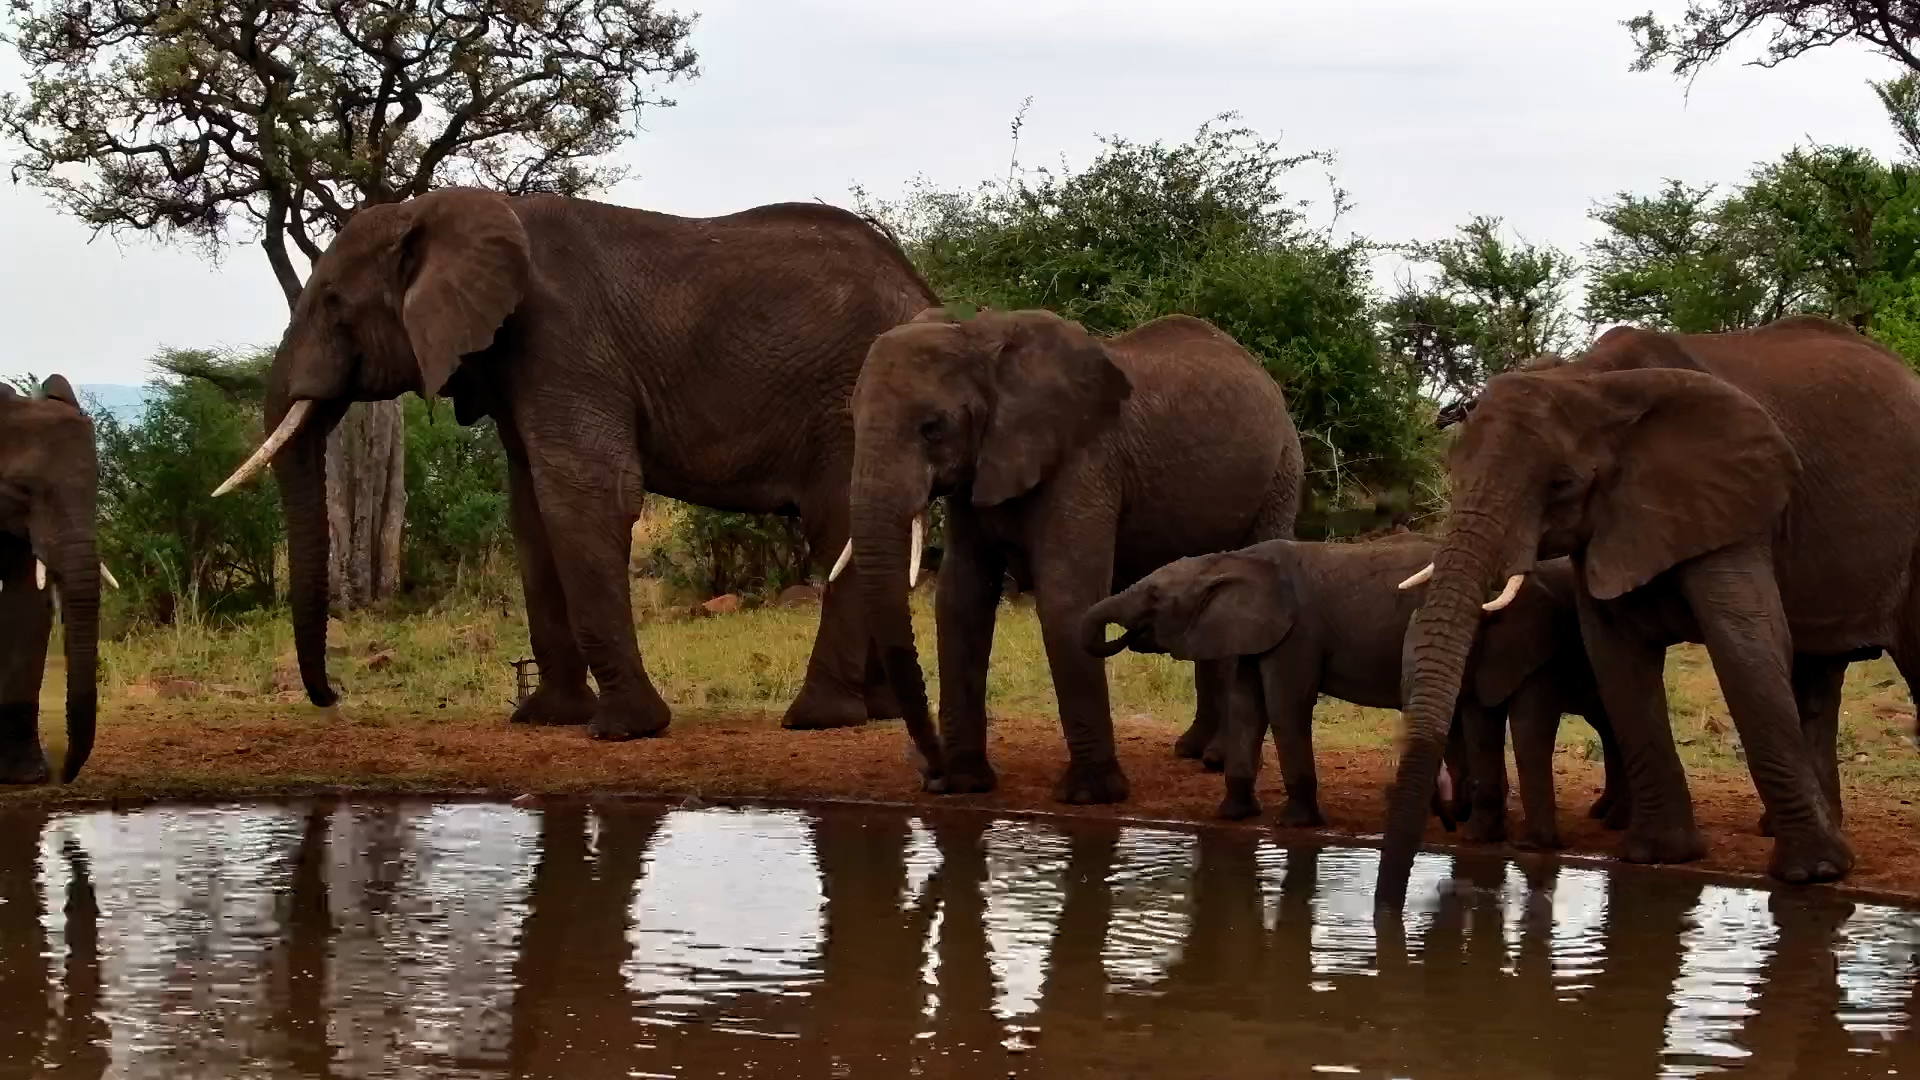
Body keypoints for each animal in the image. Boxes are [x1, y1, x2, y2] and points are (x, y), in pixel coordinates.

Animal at [212, 187, 939, 739]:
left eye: (334, 304)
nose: (332, 698)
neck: (448, 209)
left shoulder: (563, 344)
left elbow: (586, 497)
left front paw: (625, 730)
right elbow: (531, 512)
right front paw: (545, 718)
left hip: (852, 401)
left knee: (840, 524)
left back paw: (816, 718)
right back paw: (878, 711)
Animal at [840, 305, 1302, 803]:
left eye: (933, 427)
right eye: (853, 420)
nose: (931, 773)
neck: (981, 339)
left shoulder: (1085, 464)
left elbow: (1066, 600)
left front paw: (1090, 796)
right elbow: (960, 600)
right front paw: (966, 785)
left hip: (1280, 475)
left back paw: (1219, 760)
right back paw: (1194, 752)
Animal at [1079, 536, 1620, 848]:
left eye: (1153, 597)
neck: (1227, 561)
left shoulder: (1298, 634)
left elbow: (1285, 705)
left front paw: (1294, 824)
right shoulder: (1256, 633)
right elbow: (1247, 704)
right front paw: (1232, 814)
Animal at [1380, 315, 1920, 908]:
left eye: (1562, 485)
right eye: (1451, 471)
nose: (1391, 909)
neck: (1591, 381)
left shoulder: (1728, 500)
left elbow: (1745, 646)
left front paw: (1811, 874)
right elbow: (1616, 658)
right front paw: (1657, 855)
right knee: (1816, 678)